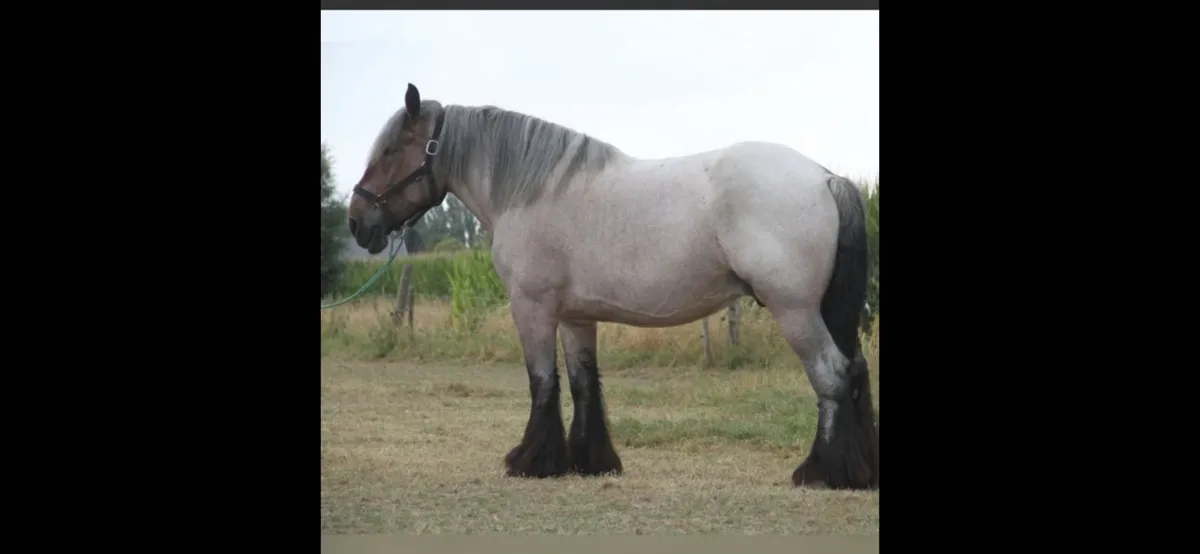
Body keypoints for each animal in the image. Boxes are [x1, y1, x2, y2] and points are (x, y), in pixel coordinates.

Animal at [345, 83, 879, 490]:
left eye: (391, 150)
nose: (356, 222)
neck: (533, 191)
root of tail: (826, 178)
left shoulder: (532, 307)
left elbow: (543, 381)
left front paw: (531, 461)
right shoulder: (575, 316)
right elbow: (584, 383)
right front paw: (589, 461)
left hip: (796, 311)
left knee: (832, 376)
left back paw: (821, 471)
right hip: (825, 312)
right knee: (855, 369)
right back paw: (859, 469)